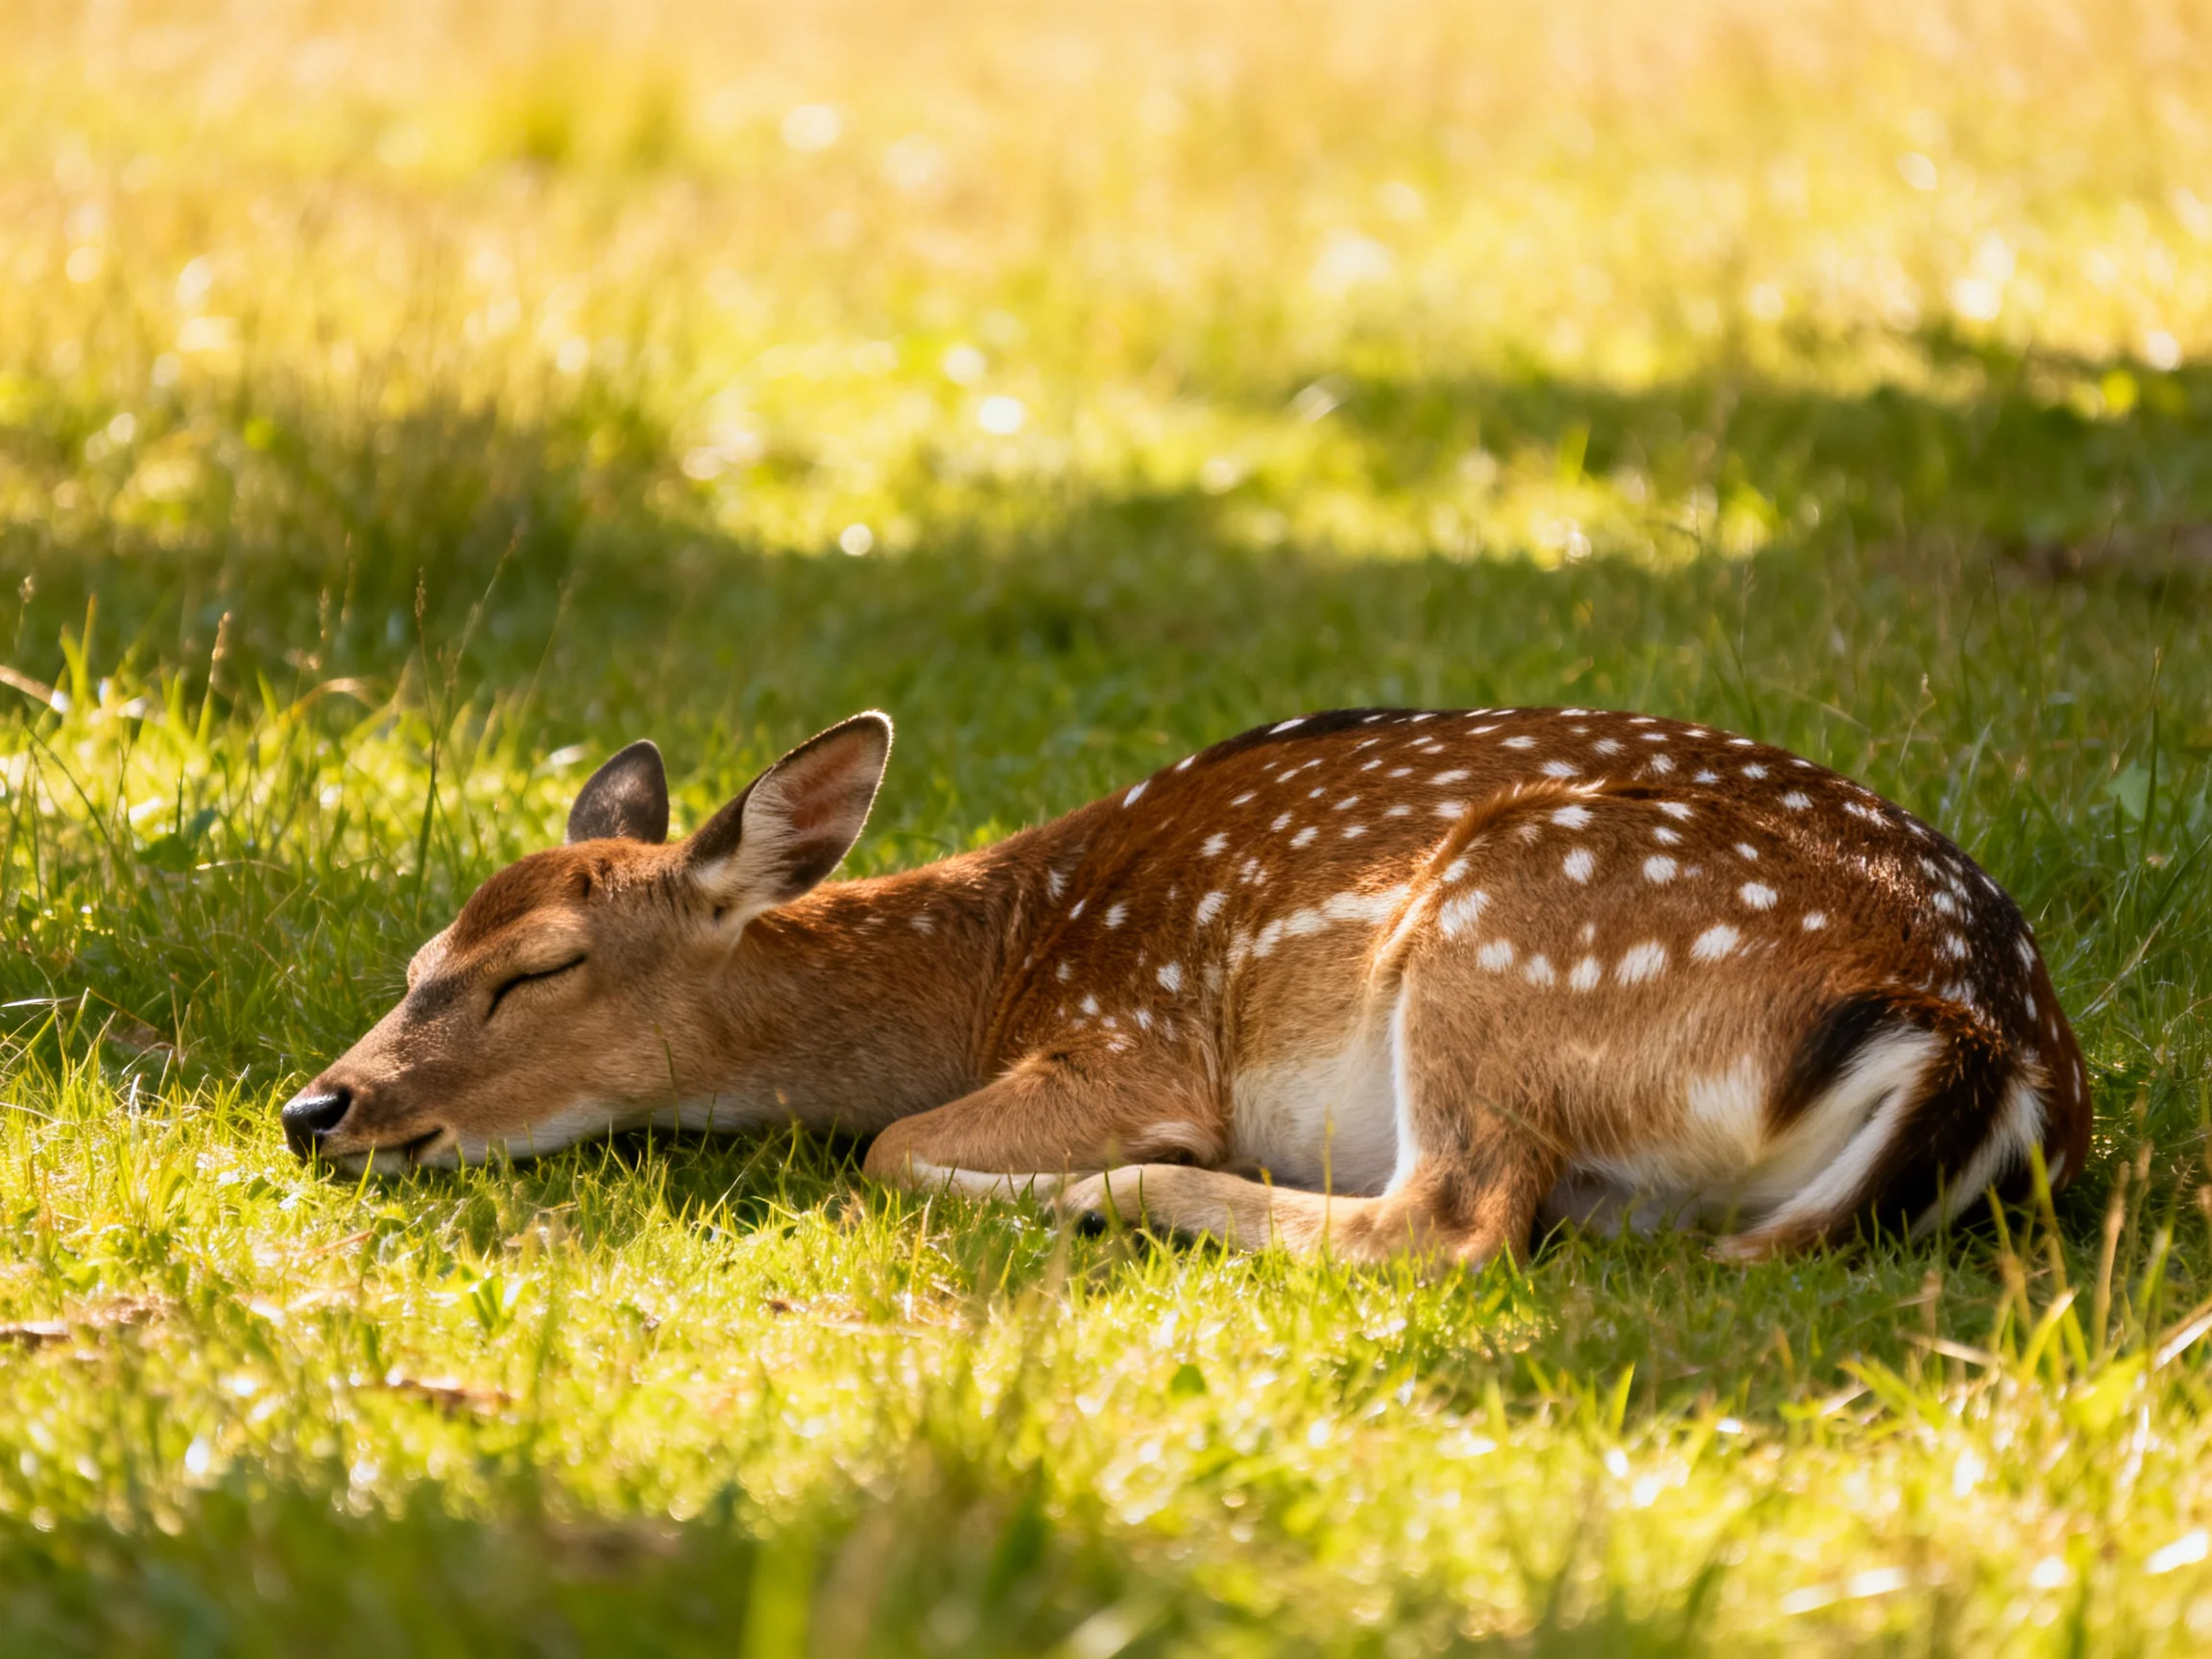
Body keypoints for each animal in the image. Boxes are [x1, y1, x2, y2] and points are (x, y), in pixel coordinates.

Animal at [280, 707, 2092, 1264]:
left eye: (537, 972)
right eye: (419, 956)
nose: (317, 1105)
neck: (993, 964)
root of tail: (1983, 1043)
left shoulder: (1130, 1036)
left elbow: (889, 1143)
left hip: (1507, 932)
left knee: (1445, 1221)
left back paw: (1124, 1197)